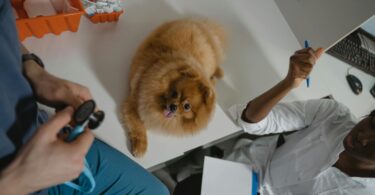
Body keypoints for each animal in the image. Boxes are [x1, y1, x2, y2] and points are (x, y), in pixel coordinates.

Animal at [122, 18, 226, 157]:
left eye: (187, 106)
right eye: (175, 93)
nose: (173, 107)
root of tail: (198, 24)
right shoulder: (134, 103)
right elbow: (139, 127)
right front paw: (140, 147)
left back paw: (217, 75)